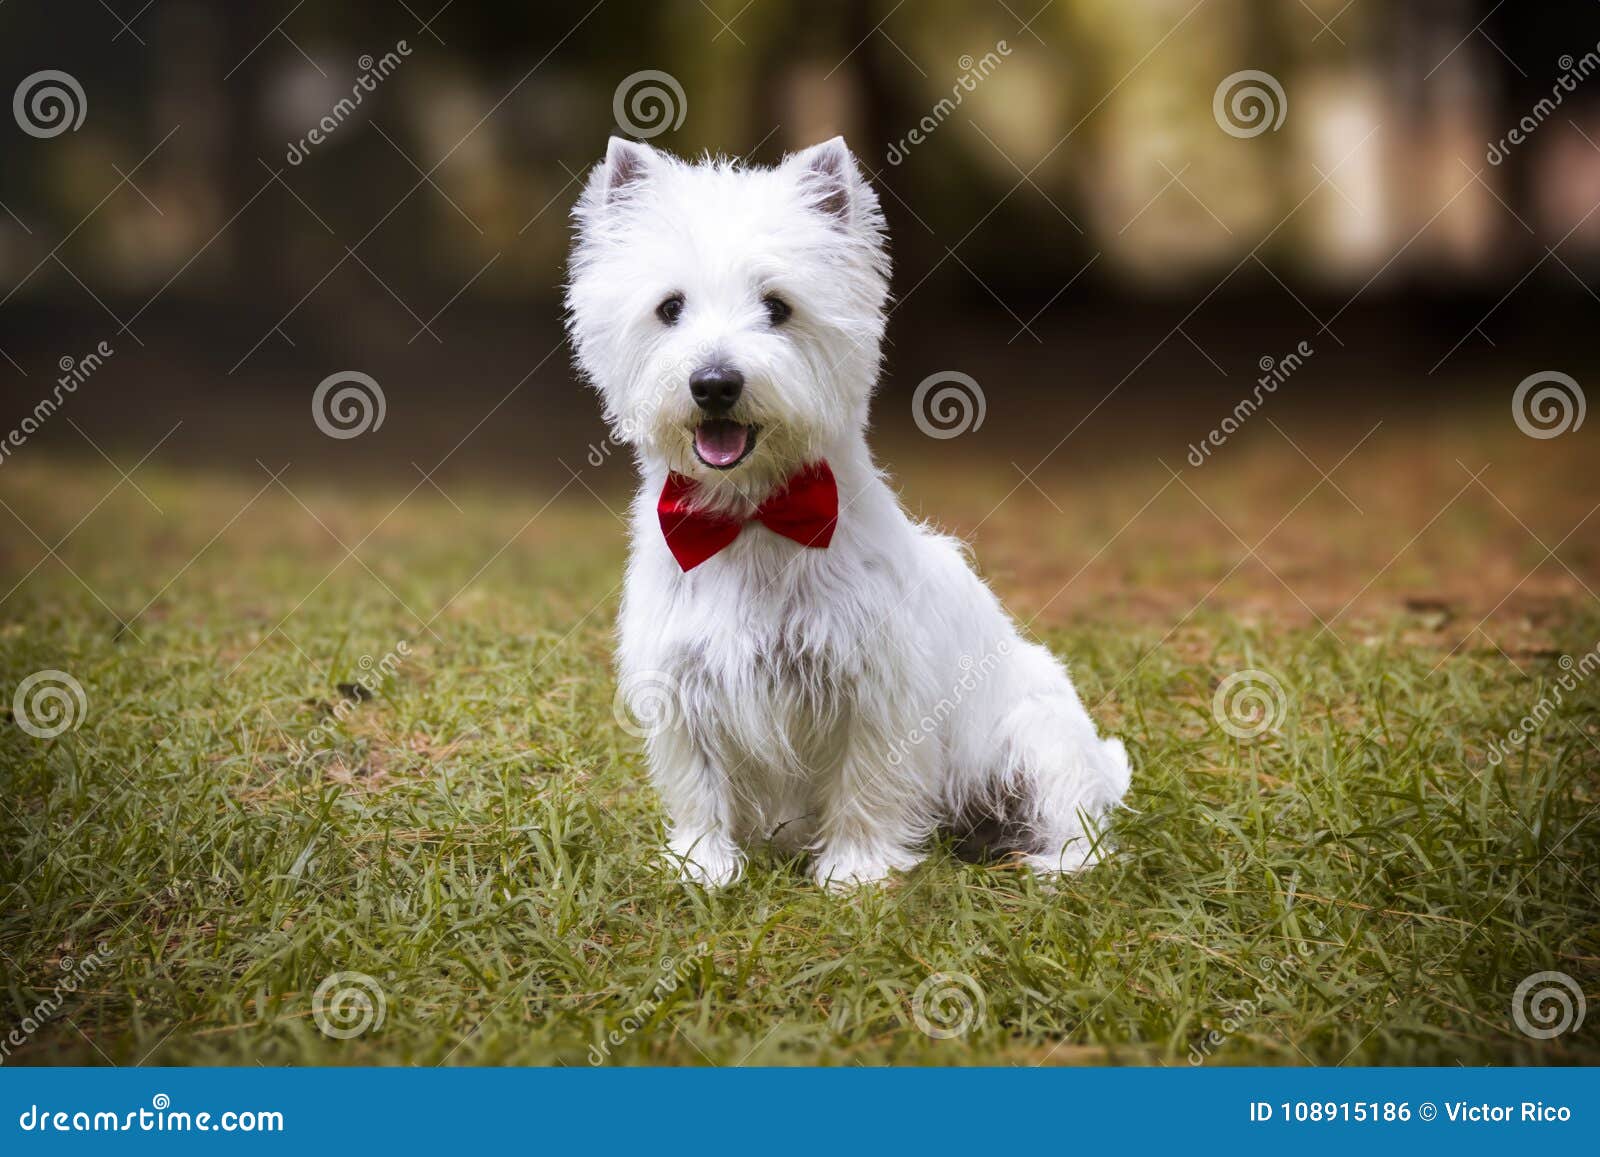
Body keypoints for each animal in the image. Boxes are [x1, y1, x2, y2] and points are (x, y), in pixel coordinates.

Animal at [569, 138, 1132, 896]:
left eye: (778, 306)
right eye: (670, 307)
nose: (714, 383)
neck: (754, 515)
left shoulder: (874, 685)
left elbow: (865, 778)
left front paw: (856, 871)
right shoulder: (683, 682)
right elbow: (699, 783)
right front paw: (704, 866)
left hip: (1038, 736)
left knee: (1078, 820)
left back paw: (1049, 861)